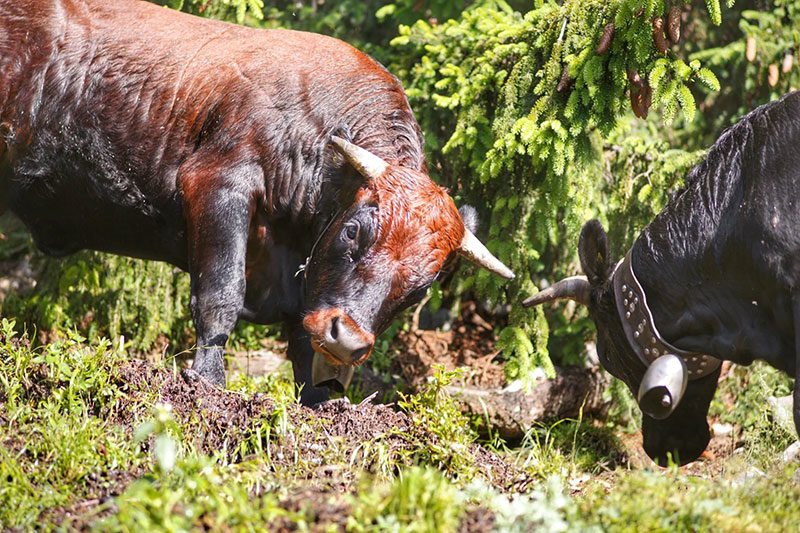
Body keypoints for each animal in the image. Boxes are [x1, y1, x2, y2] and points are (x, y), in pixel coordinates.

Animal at [0, 0, 514, 405]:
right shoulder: (219, 185)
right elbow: (220, 295)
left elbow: (304, 345)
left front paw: (323, 407)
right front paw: (207, 382)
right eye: (354, 231)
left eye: (422, 289)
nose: (346, 340)